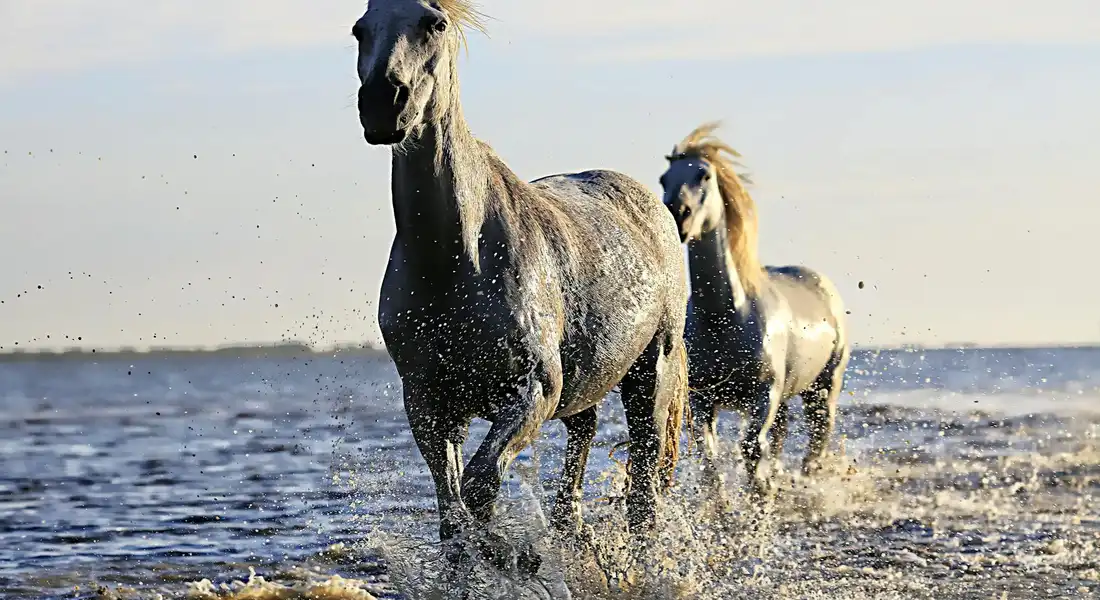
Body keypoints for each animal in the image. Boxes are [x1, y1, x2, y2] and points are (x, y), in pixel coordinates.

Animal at [351, 0, 688, 572]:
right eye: (359, 28)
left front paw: (509, 559)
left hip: (651, 374)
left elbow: (480, 486)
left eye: (434, 23)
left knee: (643, 492)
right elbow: (453, 513)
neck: (455, 260)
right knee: (581, 445)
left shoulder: (533, 391)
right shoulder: (430, 403)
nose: (382, 103)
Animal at [657, 122, 850, 501]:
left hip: (823, 387)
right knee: (781, 435)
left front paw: (760, 497)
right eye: (663, 179)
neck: (726, 318)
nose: (678, 215)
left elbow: (751, 449)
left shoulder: (764, 394)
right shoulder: (704, 400)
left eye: (704, 175)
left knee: (817, 439)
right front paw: (722, 507)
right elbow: (709, 457)